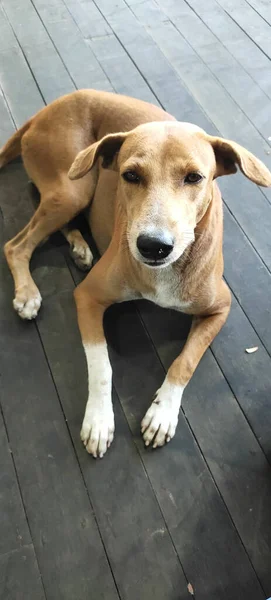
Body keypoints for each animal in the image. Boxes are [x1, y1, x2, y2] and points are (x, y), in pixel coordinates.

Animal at [2, 89, 271, 458]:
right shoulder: (87, 296)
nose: (153, 246)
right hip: (72, 188)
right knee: (16, 245)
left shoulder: (221, 307)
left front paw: (162, 414)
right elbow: (100, 363)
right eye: (130, 175)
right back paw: (28, 293)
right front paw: (99, 420)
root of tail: (45, 111)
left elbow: (185, 361)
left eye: (194, 177)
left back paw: (80, 247)